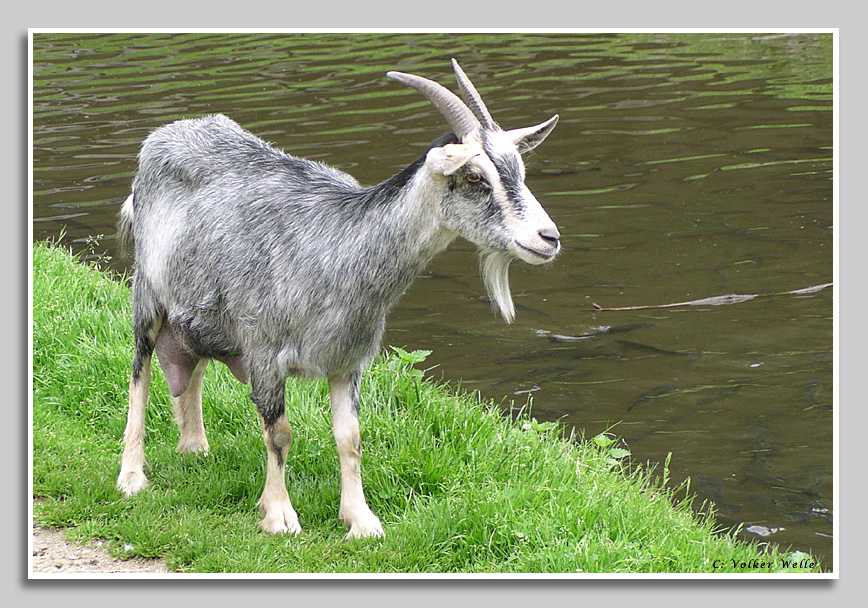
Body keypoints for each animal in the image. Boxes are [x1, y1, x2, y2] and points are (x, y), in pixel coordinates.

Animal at [116, 59, 560, 539]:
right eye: (475, 177)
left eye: (519, 170)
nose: (549, 237)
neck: (339, 249)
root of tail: (163, 136)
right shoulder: (265, 354)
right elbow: (279, 434)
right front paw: (279, 515)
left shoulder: (349, 359)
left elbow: (351, 439)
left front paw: (361, 520)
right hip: (148, 297)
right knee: (140, 373)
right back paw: (132, 475)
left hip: (199, 309)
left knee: (191, 364)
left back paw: (194, 445)